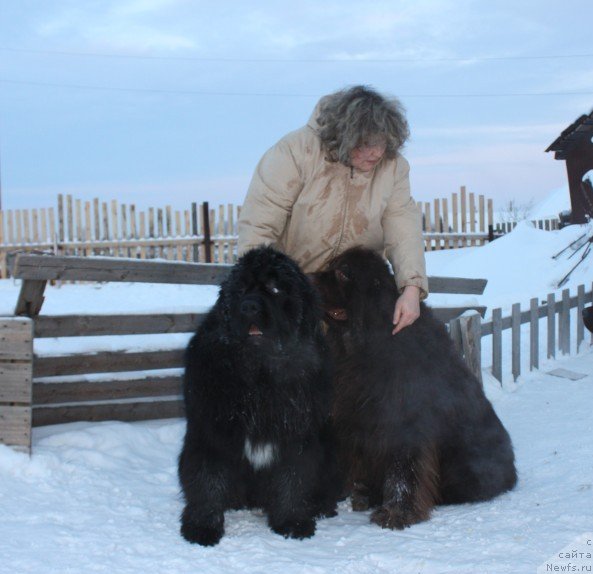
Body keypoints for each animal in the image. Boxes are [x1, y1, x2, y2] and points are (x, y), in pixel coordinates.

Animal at [177, 246, 338, 548]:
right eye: (240, 290)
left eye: (275, 288)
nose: (248, 306)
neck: (260, 377)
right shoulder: (211, 433)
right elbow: (207, 480)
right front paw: (202, 527)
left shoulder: (296, 437)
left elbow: (293, 479)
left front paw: (292, 522)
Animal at [312, 246, 516, 532]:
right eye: (331, 265)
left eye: (343, 273)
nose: (307, 276)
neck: (372, 339)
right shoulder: (359, 417)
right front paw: (367, 495)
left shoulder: (405, 420)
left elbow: (403, 471)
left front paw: (396, 513)